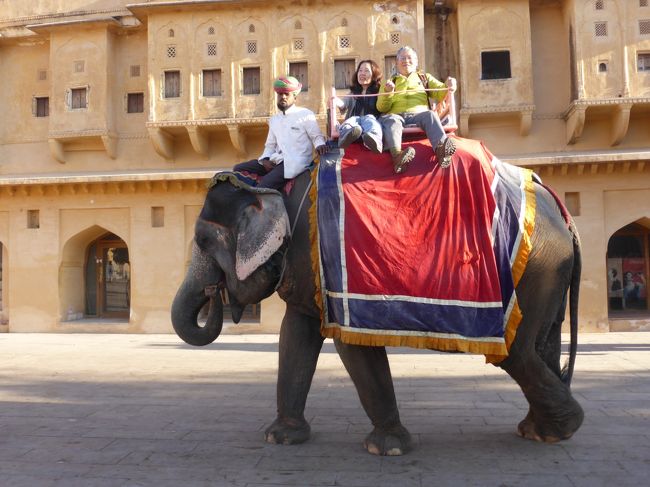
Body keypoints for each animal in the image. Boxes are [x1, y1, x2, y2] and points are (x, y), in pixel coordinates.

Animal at [171, 154, 584, 456]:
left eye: (204, 240)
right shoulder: (306, 267)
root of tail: (561, 210)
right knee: (541, 345)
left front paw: (387, 449)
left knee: (515, 352)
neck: (274, 187)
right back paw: (541, 432)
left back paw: (561, 429)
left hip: (534, 268)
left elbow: (350, 344)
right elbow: (295, 334)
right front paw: (281, 438)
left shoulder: (328, 264)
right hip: (549, 272)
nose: (213, 292)